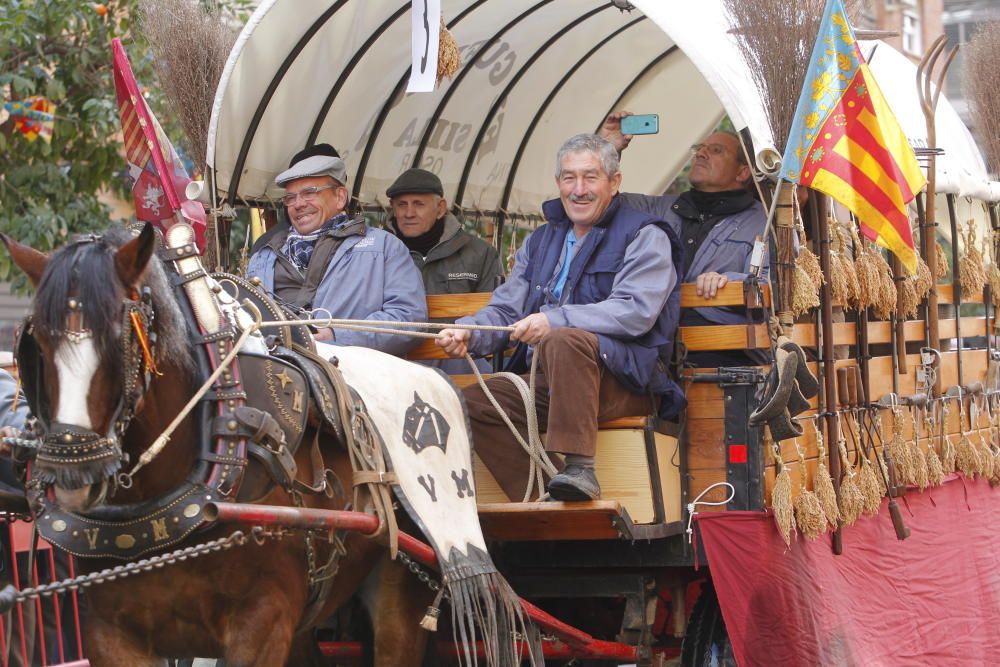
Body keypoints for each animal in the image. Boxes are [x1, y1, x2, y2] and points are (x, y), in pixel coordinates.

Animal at [0, 227, 438, 664]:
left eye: (119, 339)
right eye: (37, 343)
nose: (73, 472)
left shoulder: (262, 625)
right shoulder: (109, 634)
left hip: (401, 597)